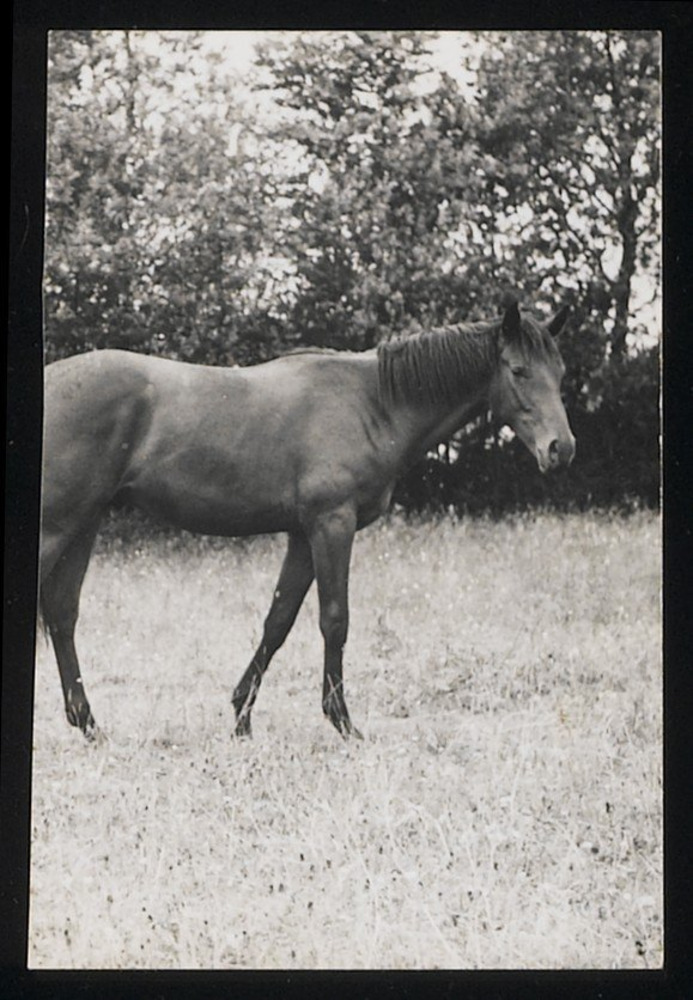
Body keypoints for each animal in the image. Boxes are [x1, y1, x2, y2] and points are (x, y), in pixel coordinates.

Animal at [39, 299, 575, 741]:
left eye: (561, 371)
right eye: (519, 370)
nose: (561, 449)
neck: (373, 403)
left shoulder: (301, 535)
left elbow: (278, 621)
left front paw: (241, 719)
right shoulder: (330, 525)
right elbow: (334, 620)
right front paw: (343, 723)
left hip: (84, 524)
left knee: (63, 614)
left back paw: (89, 724)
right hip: (57, 527)